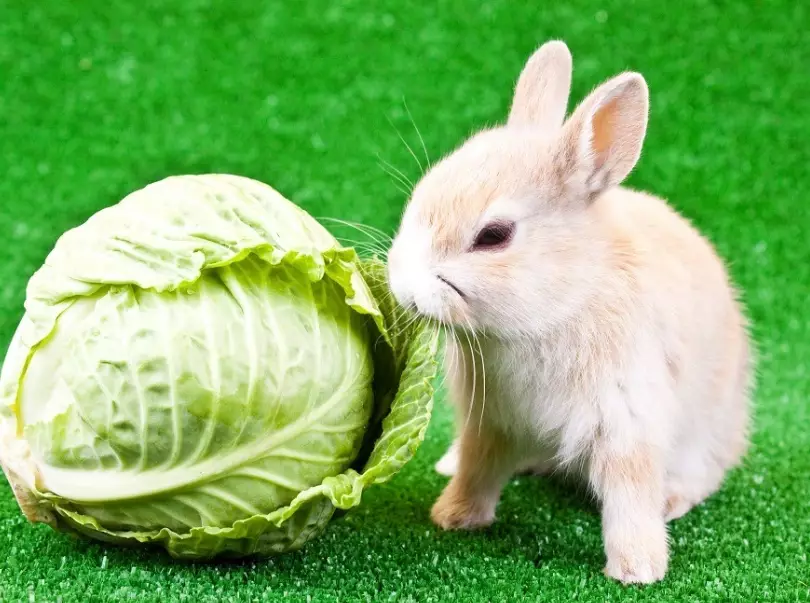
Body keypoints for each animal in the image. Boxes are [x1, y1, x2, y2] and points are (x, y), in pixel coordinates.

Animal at [385, 40, 752, 584]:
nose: (405, 291)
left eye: (494, 235)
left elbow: (628, 497)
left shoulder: (627, 421)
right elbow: (478, 468)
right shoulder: (490, 421)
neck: (558, 306)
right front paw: (454, 517)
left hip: (706, 433)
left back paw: (672, 500)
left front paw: (637, 569)